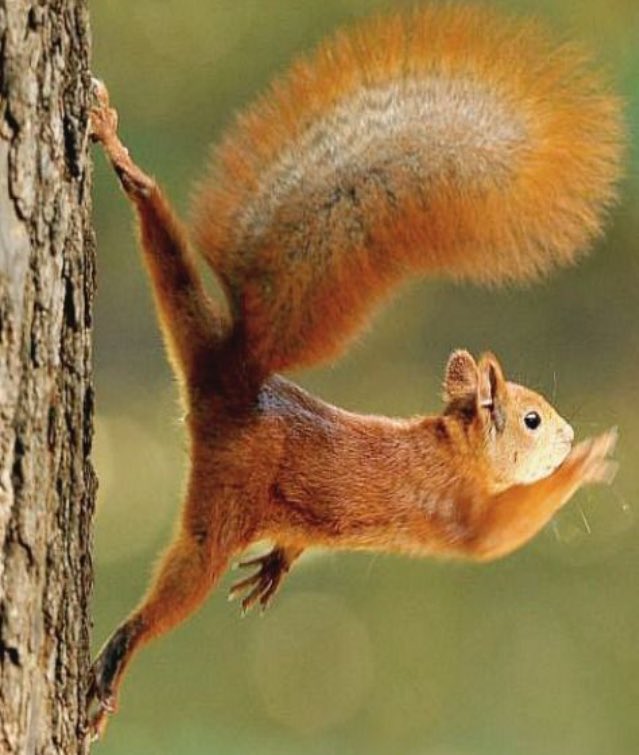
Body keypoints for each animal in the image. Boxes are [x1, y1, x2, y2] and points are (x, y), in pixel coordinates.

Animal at [87, 4, 623, 739]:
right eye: (533, 418)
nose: (567, 435)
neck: (453, 449)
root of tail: (236, 378)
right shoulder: (465, 515)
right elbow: (502, 532)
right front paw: (585, 463)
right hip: (221, 507)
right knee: (175, 587)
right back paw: (117, 655)